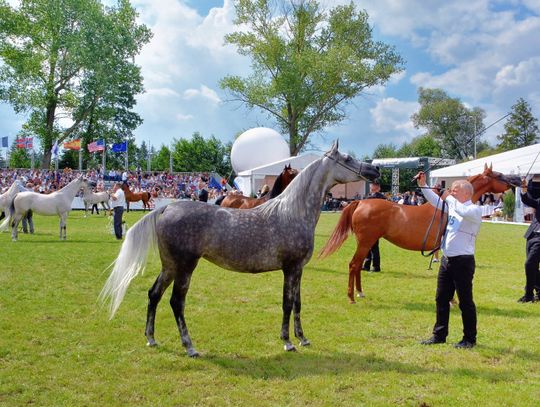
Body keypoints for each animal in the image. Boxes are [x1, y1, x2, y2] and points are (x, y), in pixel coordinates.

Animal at [101, 142, 380, 358]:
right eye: (347, 158)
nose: (374, 169)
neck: (291, 211)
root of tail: (166, 207)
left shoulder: (298, 270)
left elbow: (298, 304)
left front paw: (303, 338)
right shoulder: (290, 269)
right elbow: (287, 304)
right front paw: (288, 342)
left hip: (169, 266)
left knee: (154, 295)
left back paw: (151, 338)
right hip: (185, 267)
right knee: (176, 302)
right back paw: (190, 347)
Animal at [318, 165, 520, 302]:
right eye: (498, 175)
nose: (518, 180)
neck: (449, 207)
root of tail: (361, 202)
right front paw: (453, 301)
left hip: (366, 243)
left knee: (358, 265)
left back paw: (360, 292)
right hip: (366, 242)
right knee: (354, 265)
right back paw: (352, 297)